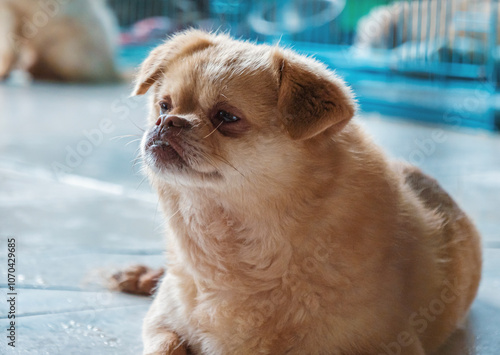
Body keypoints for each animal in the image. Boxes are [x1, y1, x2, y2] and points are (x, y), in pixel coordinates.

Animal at [120, 30, 480, 355]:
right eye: (163, 105)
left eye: (226, 117)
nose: (167, 121)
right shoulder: (161, 323)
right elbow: (166, 343)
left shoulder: (393, 345)